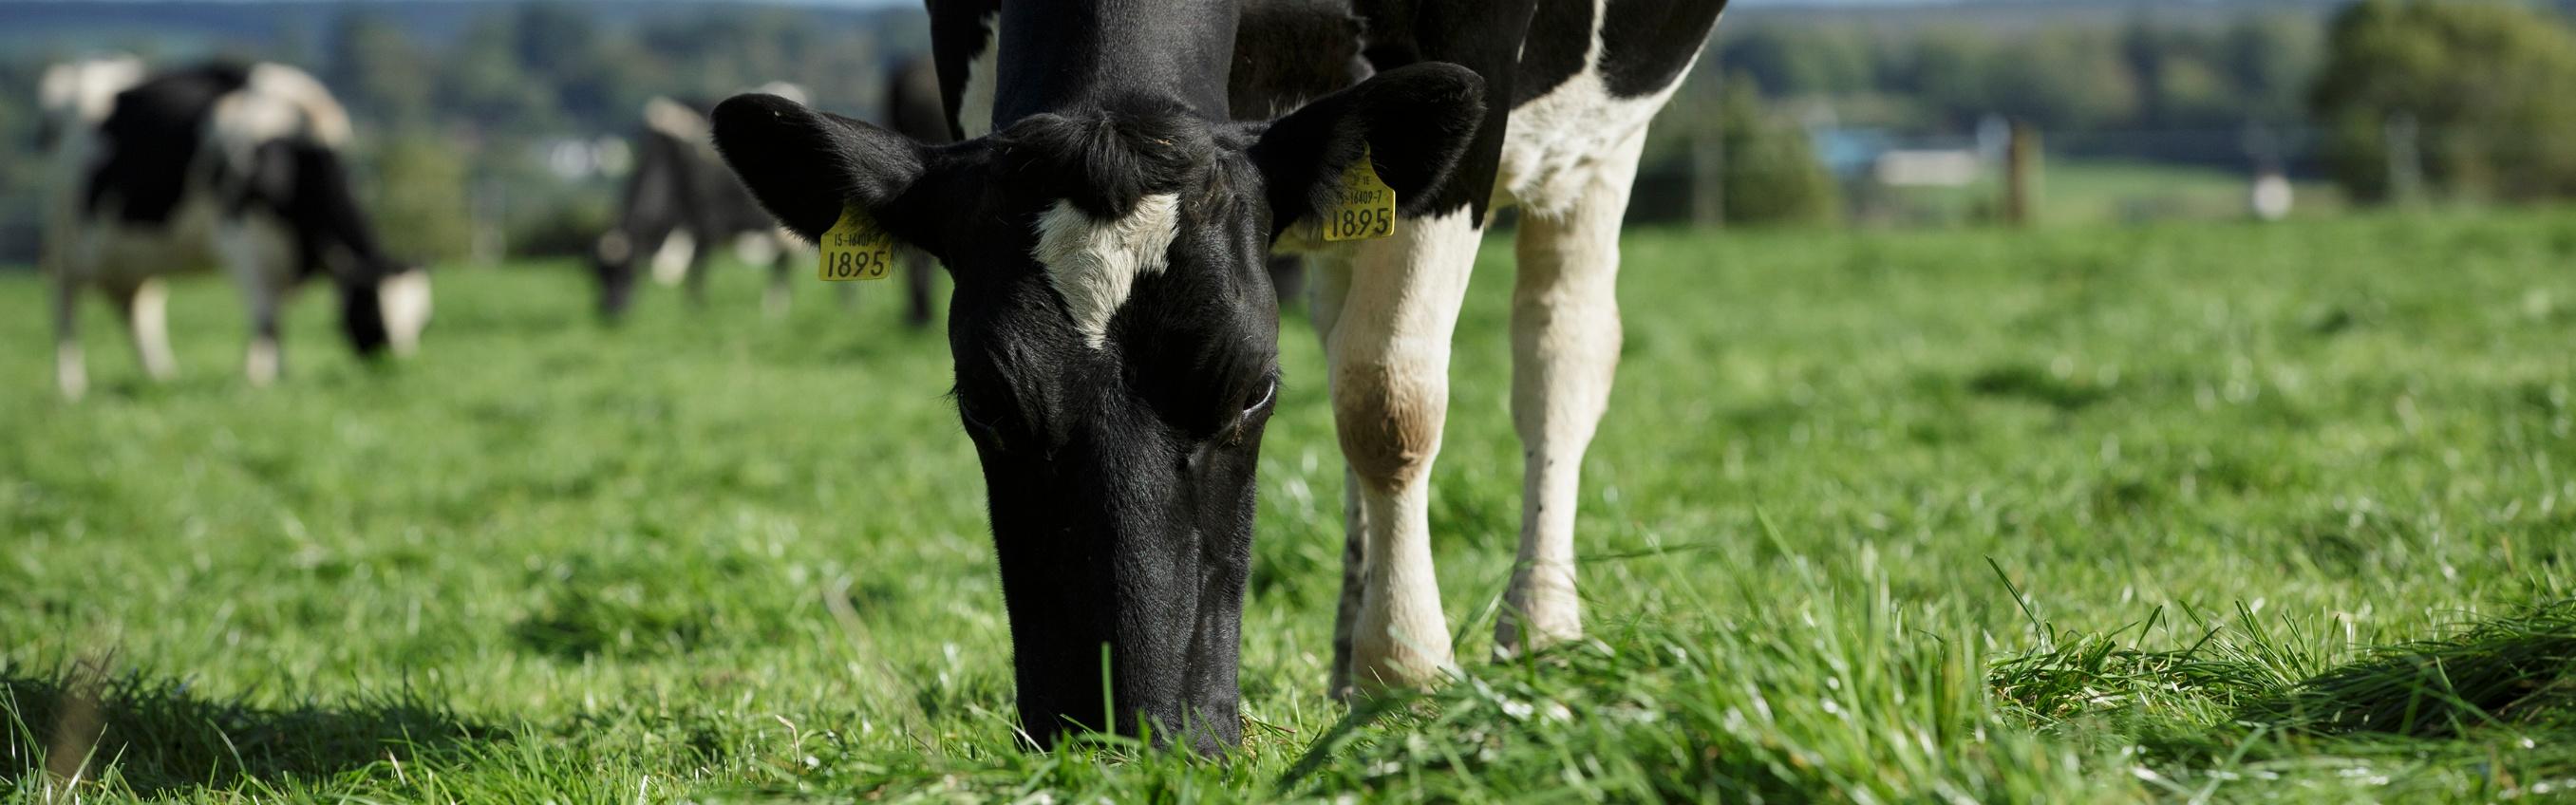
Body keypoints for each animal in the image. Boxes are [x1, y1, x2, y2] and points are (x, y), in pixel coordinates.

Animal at [47, 59, 432, 398]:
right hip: (67, 241)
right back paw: (70, 386)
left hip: (135, 257)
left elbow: (278, 321)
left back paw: (161, 377)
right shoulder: (242, 244)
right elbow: (265, 320)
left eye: (421, 320)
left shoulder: (280, 256)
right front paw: (255, 382)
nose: (393, 369)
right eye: (371, 315)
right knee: (66, 311)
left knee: (140, 314)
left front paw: (283, 376)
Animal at [716, 0, 1731, 751]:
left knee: (1558, 351)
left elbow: (1390, 403)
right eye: (985, 404)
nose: (1125, 739)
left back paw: (1540, 635)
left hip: (1602, 137)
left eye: (1253, 393)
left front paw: (1407, 675)